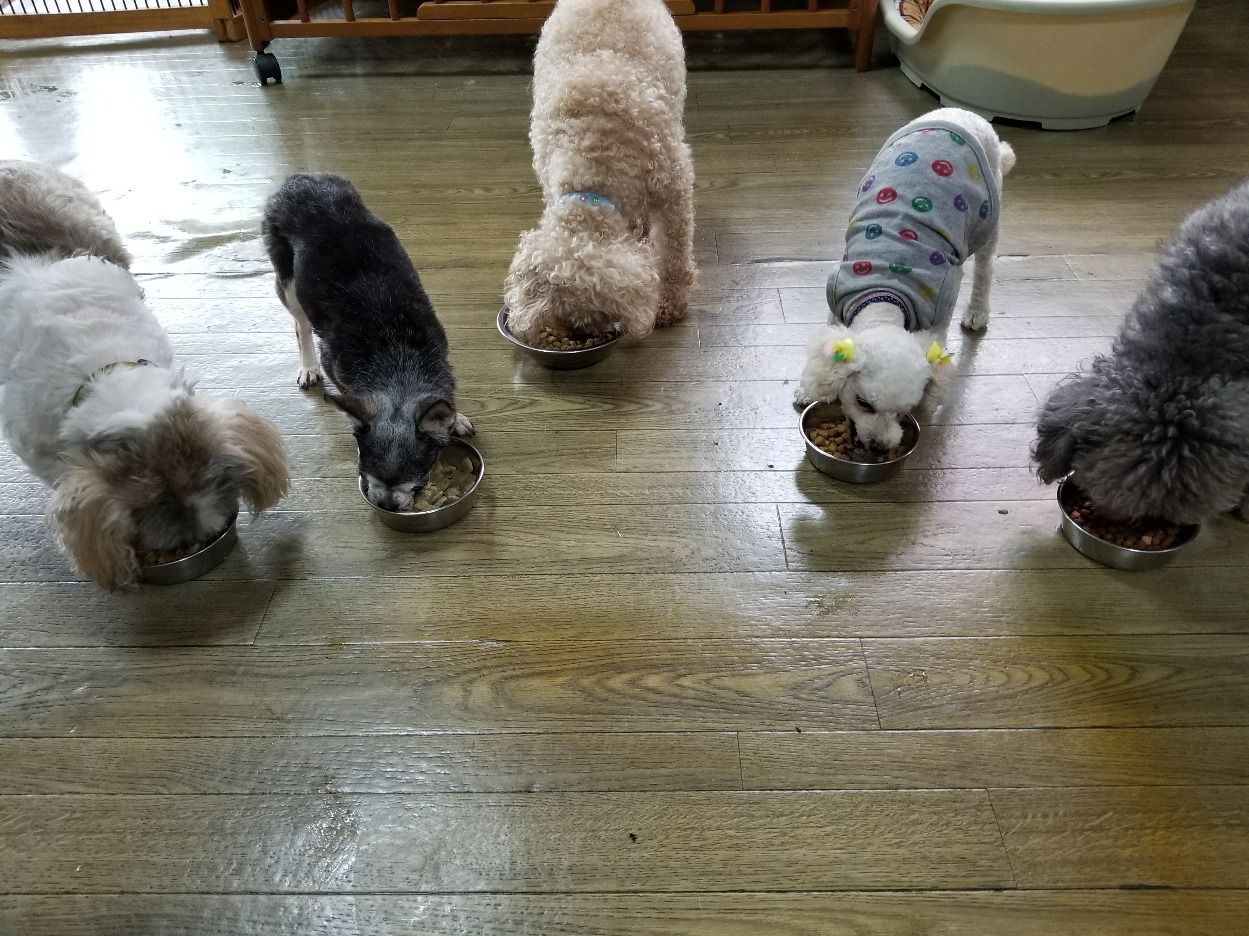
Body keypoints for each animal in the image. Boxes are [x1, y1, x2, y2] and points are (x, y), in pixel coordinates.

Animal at [262, 172, 474, 512]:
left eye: (418, 477)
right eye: (366, 471)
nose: (386, 503)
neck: (398, 361)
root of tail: (300, 178)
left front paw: (455, 418)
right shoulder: (337, 368)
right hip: (289, 282)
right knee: (300, 325)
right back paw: (308, 366)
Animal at [503, 0, 695, 343]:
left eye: (597, 309)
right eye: (561, 310)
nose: (580, 335)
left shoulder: (674, 188)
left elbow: (674, 253)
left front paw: (668, 303)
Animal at [797, 108, 1015, 454]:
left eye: (904, 412)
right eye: (864, 403)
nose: (879, 447)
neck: (885, 297)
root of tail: (967, 113)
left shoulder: (940, 308)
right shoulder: (836, 298)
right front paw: (810, 388)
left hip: (988, 219)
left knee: (985, 268)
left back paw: (977, 312)